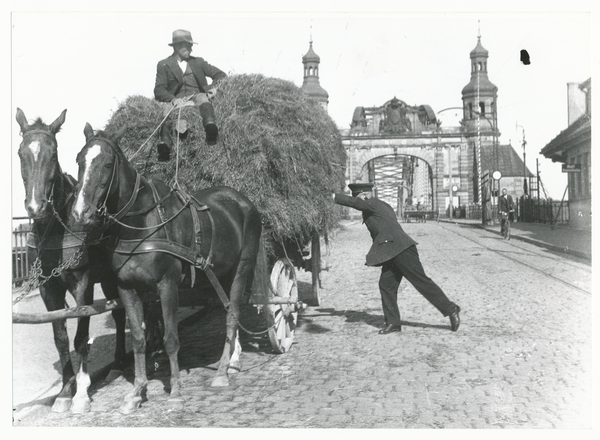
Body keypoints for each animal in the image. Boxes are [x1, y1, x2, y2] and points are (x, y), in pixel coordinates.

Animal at [14, 108, 126, 414]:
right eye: (20, 153)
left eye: (53, 153)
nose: (35, 207)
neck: (56, 227)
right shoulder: (47, 287)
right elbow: (61, 338)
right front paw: (65, 390)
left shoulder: (82, 283)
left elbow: (81, 337)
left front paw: (81, 393)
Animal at [71, 124, 264, 412]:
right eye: (79, 161)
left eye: (106, 164)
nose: (80, 212)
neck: (143, 223)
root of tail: (243, 200)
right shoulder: (127, 288)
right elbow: (138, 339)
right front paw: (137, 391)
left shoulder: (167, 285)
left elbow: (171, 338)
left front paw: (175, 392)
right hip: (219, 274)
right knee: (228, 307)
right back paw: (232, 358)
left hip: (242, 267)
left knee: (232, 315)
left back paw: (221, 371)